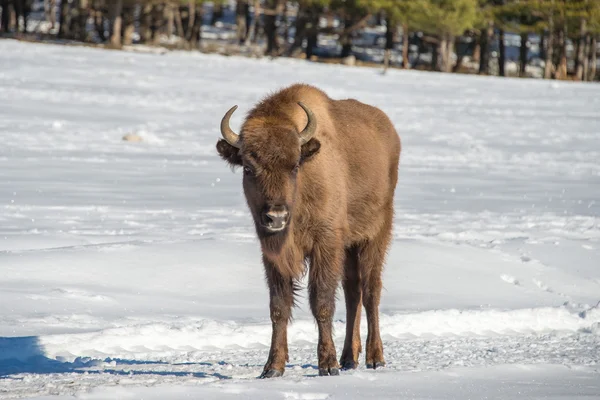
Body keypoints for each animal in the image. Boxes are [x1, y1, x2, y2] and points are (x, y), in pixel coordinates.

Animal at [213, 83, 400, 376]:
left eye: (295, 166)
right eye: (248, 168)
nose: (276, 217)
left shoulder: (326, 245)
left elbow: (321, 302)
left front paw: (328, 365)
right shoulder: (273, 255)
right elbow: (279, 306)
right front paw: (272, 367)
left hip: (375, 236)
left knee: (371, 292)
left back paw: (375, 358)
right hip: (349, 247)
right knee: (353, 293)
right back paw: (349, 358)